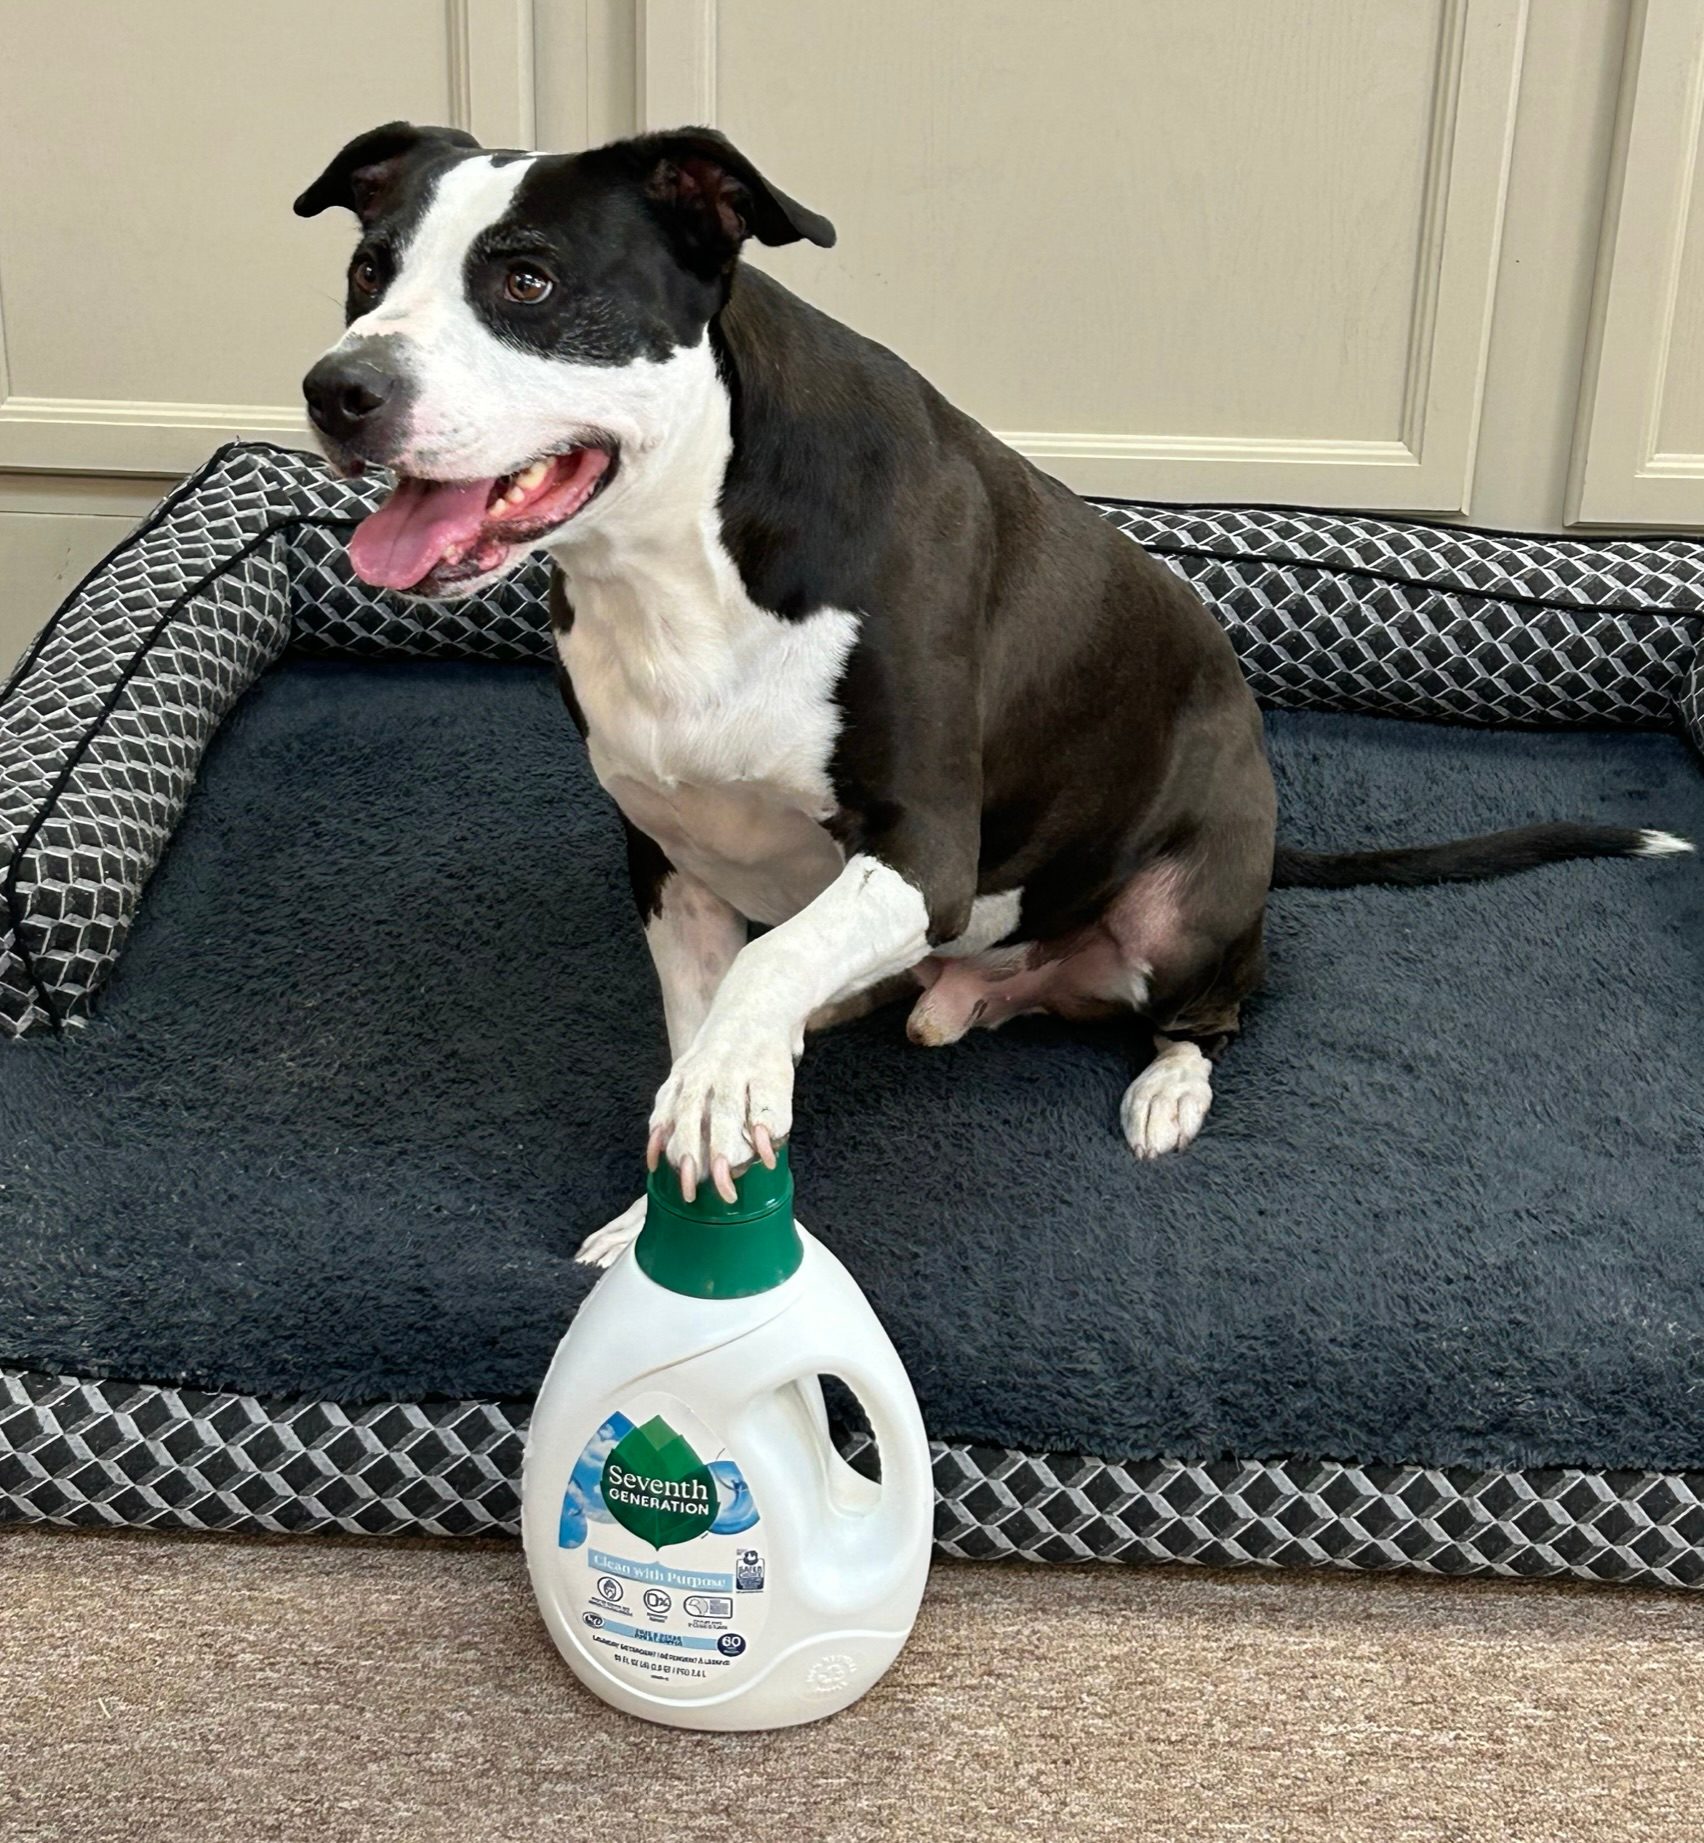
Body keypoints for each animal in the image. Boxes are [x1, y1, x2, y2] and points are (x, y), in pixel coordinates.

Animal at [292, 122, 1687, 1260]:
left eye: (528, 280)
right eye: (367, 272)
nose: (338, 389)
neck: (681, 554)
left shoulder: (927, 847)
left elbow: (760, 977)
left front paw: (722, 1094)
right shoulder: (667, 861)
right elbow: (706, 1018)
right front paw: (667, 1194)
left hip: (1187, 909)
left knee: (1220, 1003)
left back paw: (1168, 1084)